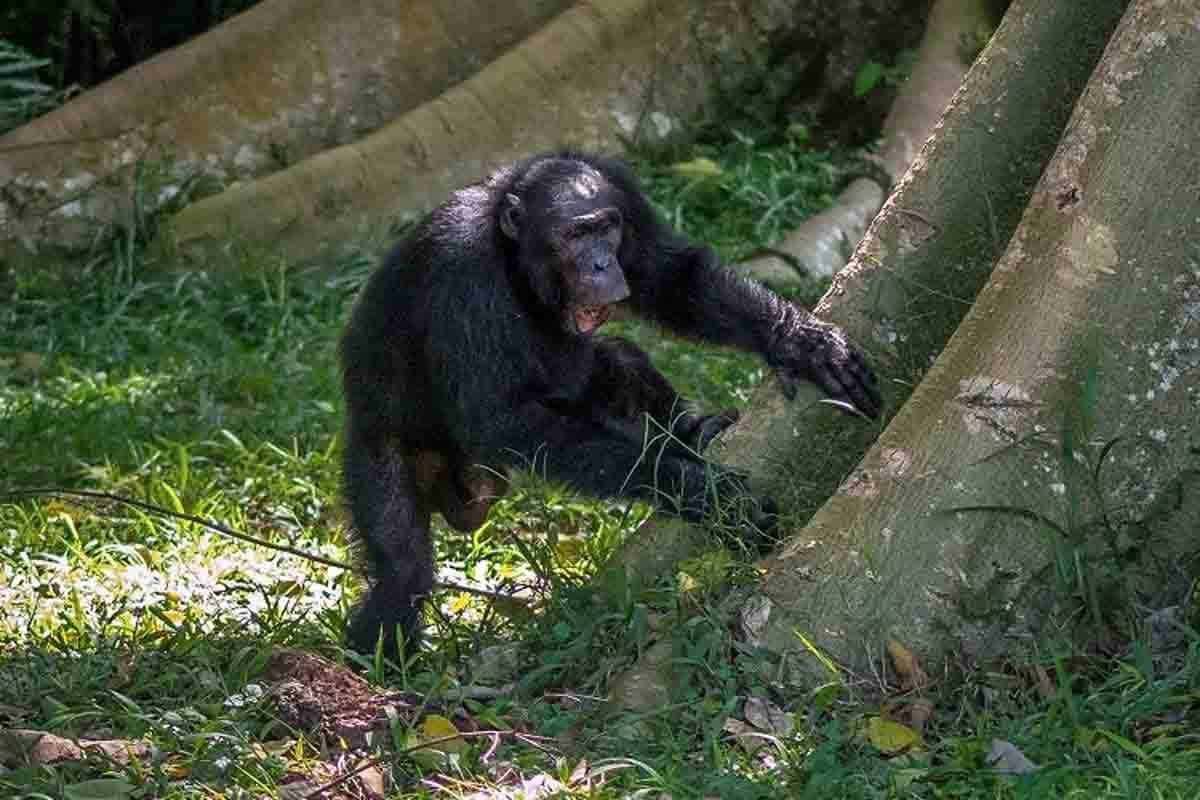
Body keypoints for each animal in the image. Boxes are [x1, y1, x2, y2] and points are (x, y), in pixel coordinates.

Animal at [338, 151, 883, 657]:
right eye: (577, 234)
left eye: (607, 228)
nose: (602, 263)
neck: (513, 259)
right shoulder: (462, 270)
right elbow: (502, 417)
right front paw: (699, 492)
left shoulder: (627, 197)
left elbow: (670, 275)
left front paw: (801, 340)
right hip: (378, 450)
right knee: (402, 576)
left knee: (618, 360)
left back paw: (694, 430)